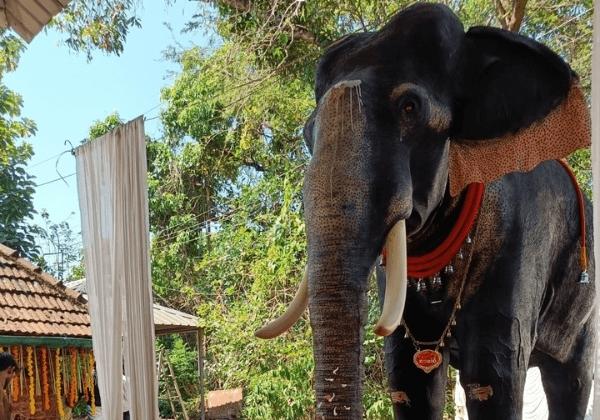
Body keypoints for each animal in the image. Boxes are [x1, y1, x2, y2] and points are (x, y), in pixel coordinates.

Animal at [255, 3, 592, 420]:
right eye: (307, 132)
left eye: (409, 108)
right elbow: (409, 381)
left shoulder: (516, 241)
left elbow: (492, 380)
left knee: (570, 380)